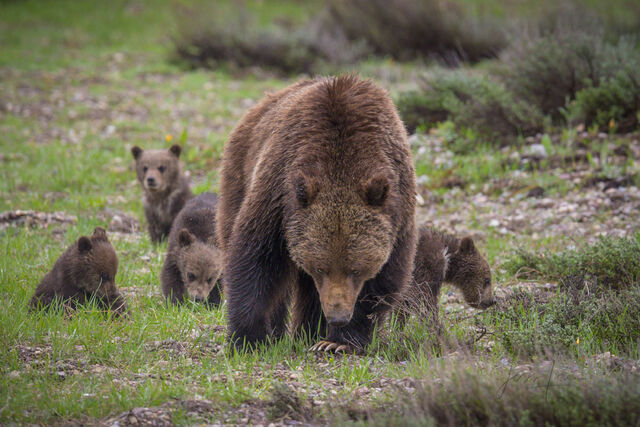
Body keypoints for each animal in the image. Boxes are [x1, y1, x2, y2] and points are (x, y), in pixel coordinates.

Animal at [218, 75, 418, 352]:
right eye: (321, 268)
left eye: (356, 270)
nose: (338, 316)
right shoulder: (279, 195)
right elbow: (256, 257)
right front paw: (250, 336)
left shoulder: (397, 213)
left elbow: (383, 282)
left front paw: (338, 342)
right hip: (240, 172)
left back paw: (310, 334)